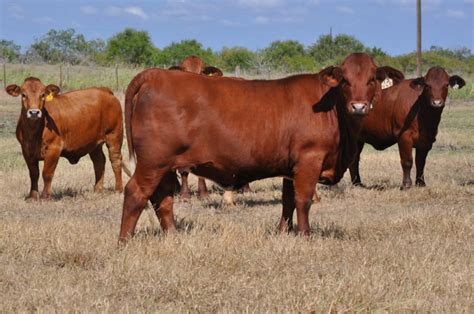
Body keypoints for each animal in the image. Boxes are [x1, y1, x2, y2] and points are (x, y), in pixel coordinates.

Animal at [119, 53, 404, 240]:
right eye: (344, 80)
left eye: (372, 79)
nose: (359, 106)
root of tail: (156, 74)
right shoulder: (309, 159)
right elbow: (303, 200)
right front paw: (306, 235)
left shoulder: (291, 167)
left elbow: (288, 201)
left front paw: (284, 232)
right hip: (153, 161)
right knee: (136, 192)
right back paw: (125, 241)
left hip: (164, 165)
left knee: (163, 197)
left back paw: (173, 235)